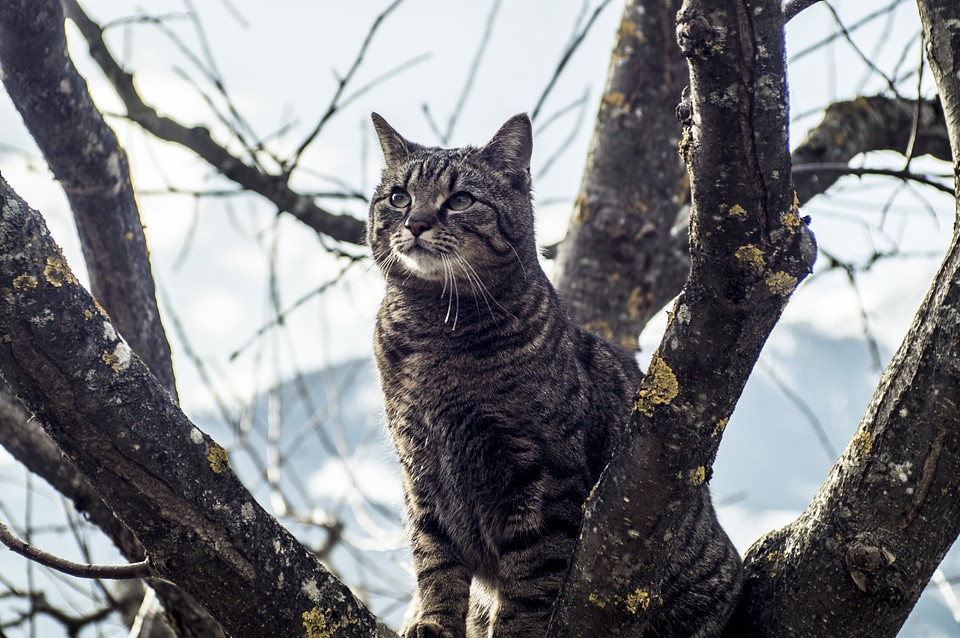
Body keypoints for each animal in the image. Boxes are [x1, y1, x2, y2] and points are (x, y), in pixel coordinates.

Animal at [368, 114, 744, 638]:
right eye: (399, 197)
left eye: (460, 200)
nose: (415, 222)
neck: (437, 331)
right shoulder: (420, 470)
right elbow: (435, 561)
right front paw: (434, 623)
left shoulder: (541, 475)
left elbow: (531, 580)